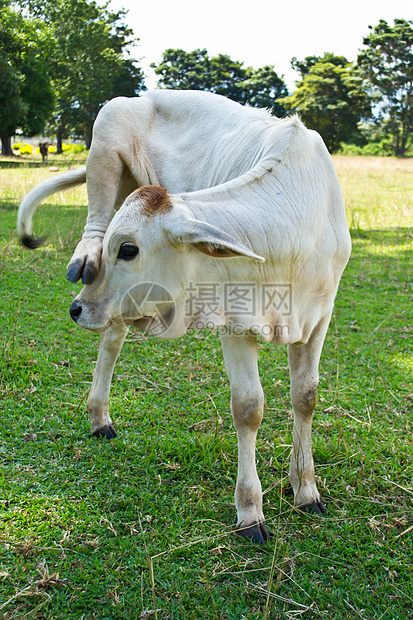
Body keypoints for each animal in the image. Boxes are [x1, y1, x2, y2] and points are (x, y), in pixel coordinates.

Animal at [67, 116, 350, 544]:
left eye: (129, 249)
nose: (77, 308)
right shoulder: (234, 321)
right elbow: (248, 408)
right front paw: (250, 511)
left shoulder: (319, 317)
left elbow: (306, 397)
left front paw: (305, 488)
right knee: (112, 335)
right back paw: (99, 417)